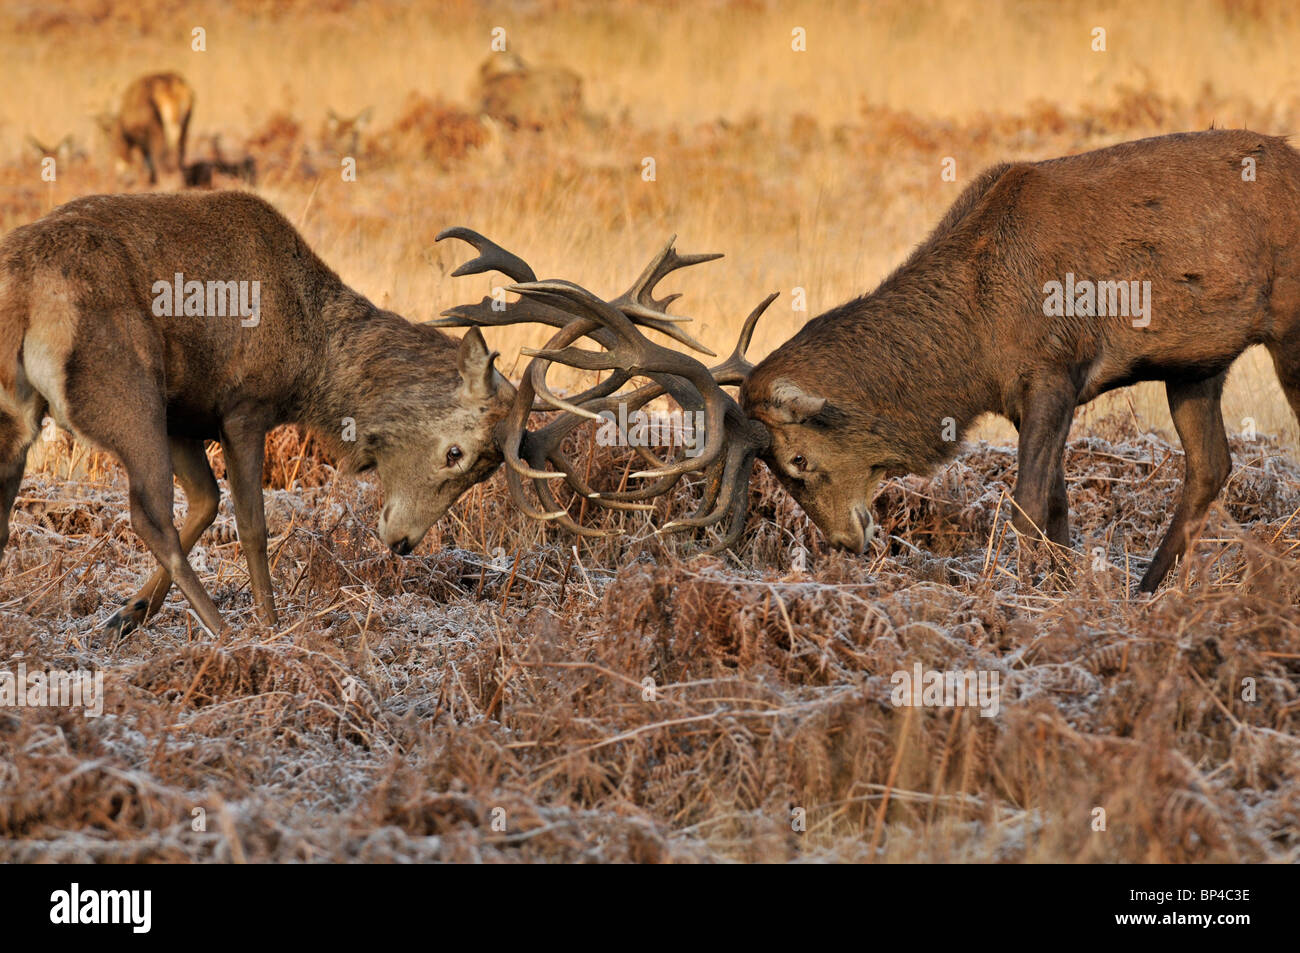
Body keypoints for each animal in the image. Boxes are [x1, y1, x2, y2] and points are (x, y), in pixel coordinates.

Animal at [435, 129, 1300, 592]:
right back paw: (1150, 592)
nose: (850, 543)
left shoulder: (1054, 367)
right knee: (1212, 467)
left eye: (796, 461)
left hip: (1287, 326)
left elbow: (1027, 506)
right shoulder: (1043, 391)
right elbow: (1057, 509)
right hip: (1198, 364)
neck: (973, 337)